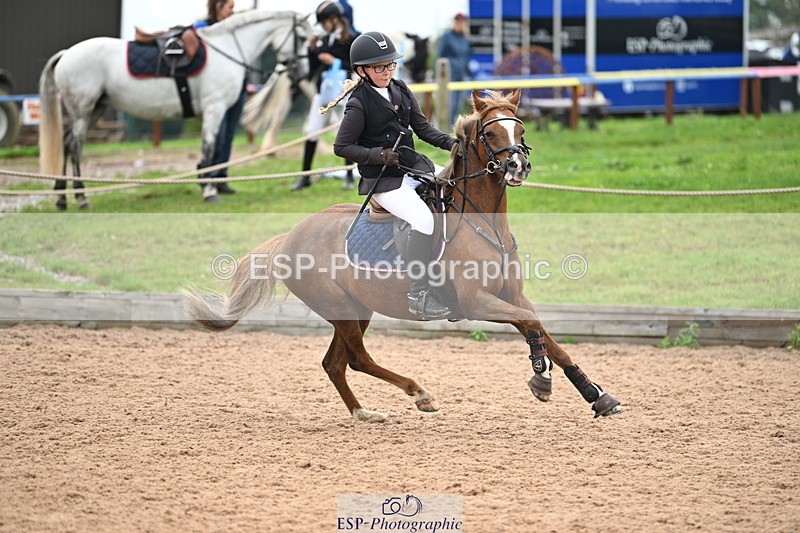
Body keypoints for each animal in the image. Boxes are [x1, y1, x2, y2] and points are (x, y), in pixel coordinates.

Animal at [38, 10, 311, 210]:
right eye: (303, 38)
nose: (303, 73)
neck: (226, 50)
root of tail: (66, 54)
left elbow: (211, 150)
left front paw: (207, 186)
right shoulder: (214, 108)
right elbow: (209, 149)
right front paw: (209, 191)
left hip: (94, 110)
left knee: (67, 144)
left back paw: (61, 197)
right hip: (82, 111)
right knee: (75, 148)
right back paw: (81, 196)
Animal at [184, 89, 622, 422]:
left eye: (520, 128)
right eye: (491, 132)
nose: (518, 166)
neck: (484, 222)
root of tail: (290, 236)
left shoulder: (510, 295)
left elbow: (545, 332)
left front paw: (595, 394)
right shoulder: (476, 301)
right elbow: (532, 325)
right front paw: (540, 379)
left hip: (356, 308)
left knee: (336, 363)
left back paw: (364, 413)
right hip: (341, 307)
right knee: (358, 359)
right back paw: (419, 393)